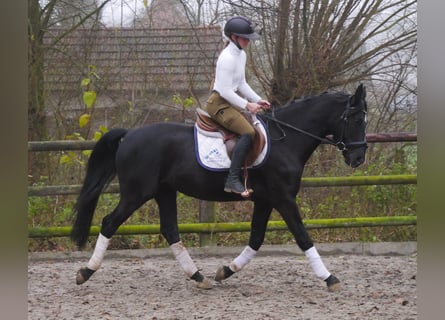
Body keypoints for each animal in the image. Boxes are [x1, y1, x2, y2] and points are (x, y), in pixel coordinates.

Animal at [70, 84, 368, 292]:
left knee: (170, 230)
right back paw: (85, 272)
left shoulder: (265, 200)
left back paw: (199, 277)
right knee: (109, 223)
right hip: (136, 193)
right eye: (356, 120)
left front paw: (226, 270)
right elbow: (303, 237)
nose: (358, 158)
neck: (286, 140)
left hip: (164, 192)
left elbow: (256, 239)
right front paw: (330, 278)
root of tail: (130, 134)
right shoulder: (283, 198)